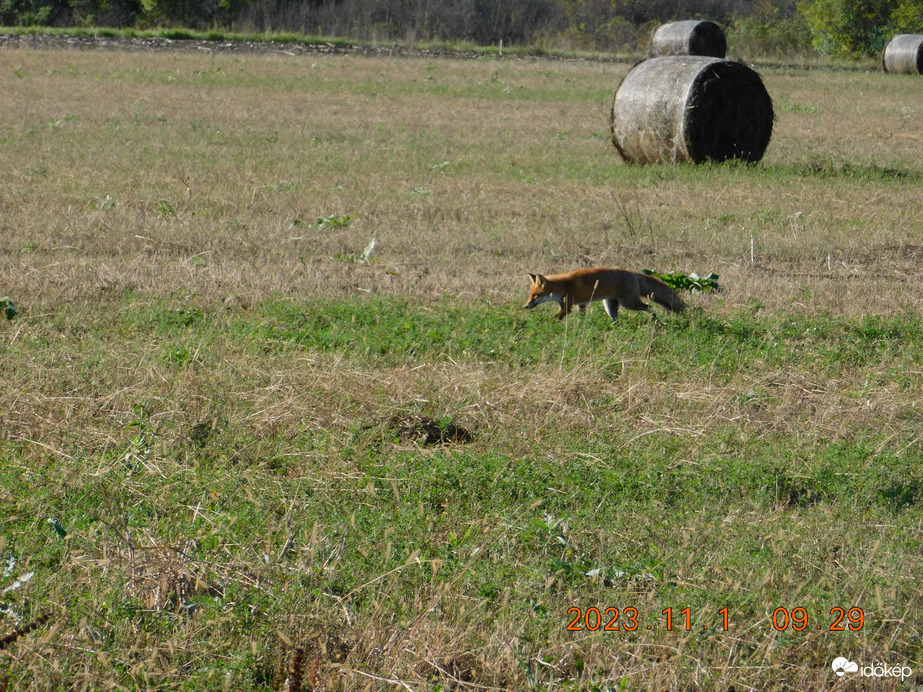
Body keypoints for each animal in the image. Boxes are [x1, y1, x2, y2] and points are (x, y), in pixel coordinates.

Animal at [528, 268, 684, 324]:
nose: (525, 306)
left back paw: (655, 321)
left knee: (648, 307)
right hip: (609, 305)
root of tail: (633, 273)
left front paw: (545, 325)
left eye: (535, 296)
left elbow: (554, 318)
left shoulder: (567, 307)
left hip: (629, 303)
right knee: (616, 319)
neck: (563, 286)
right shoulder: (581, 304)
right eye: (530, 295)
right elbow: (581, 316)